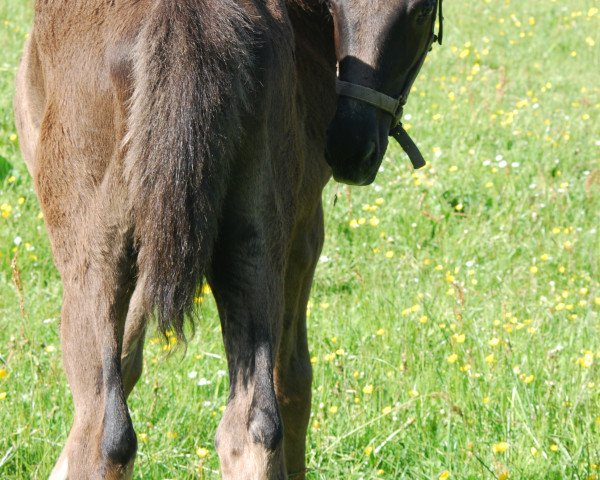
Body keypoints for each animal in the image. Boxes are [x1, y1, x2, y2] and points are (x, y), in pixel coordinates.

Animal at [12, 0, 440, 480]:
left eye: (422, 10)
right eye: (335, 8)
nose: (352, 147)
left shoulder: (302, 229)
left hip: (95, 256)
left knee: (106, 429)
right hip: (251, 243)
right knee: (252, 424)